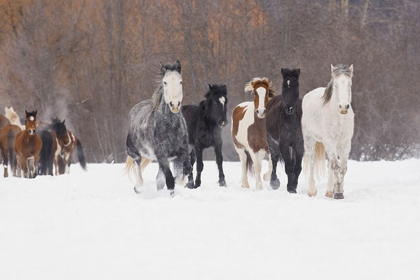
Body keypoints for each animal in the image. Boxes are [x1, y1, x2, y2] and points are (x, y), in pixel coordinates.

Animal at [124, 60, 190, 197]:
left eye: (180, 81)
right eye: (165, 82)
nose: (174, 105)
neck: (171, 127)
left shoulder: (182, 152)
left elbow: (185, 171)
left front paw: (178, 181)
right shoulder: (162, 155)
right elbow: (169, 180)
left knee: (159, 180)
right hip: (134, 152)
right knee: (139, 172)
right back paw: (137, 188)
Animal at [302, 63, 354, 199]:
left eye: (349, 84)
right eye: (335, 85)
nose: (343, 107)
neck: (340, 119)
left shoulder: (345, 143)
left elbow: (342, 167)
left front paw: (338, 191)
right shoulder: (330, 141)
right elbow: (335, 165)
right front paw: (338, 194)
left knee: (330, 162)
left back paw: (330, 191)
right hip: (309, 139)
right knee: (312, 160)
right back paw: (312, 190)